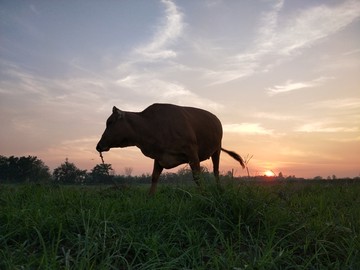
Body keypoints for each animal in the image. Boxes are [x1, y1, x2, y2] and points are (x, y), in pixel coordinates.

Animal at [97, 103, 246, 194]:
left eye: (110, 122)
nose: (98, 146)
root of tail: (216, 118)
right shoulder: (159, 157)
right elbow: (154, 177)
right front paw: (150, 197)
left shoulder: (192, 152)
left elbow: (197, 177)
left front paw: (204, 194)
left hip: (216, 150)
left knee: (216, 172)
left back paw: (219, 188)